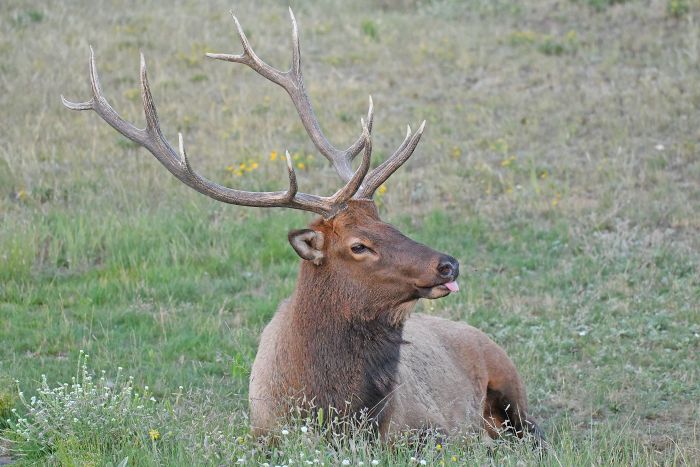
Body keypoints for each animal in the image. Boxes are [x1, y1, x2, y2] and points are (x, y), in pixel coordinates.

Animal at [62, 9, 543, 445]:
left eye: (387, 221)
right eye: (359, 245)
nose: (448, 264)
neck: (330, 409)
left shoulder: (428, 427)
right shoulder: (264, 435)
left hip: (509, 379)